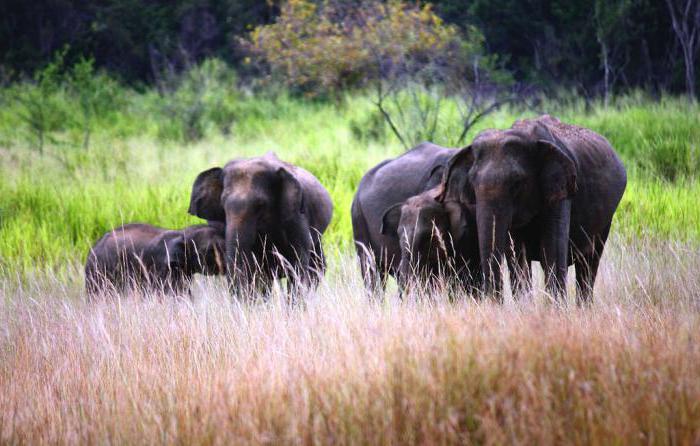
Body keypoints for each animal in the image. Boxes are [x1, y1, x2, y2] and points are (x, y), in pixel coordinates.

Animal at [438, 115, 628, 304]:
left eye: (516, 183)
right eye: (472, 183)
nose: (494, 302)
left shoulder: (561, 190)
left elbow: (552, 251)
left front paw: (555, 308)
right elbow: (517, 256)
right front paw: (525, 306)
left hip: (606, 219)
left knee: (589, 263)